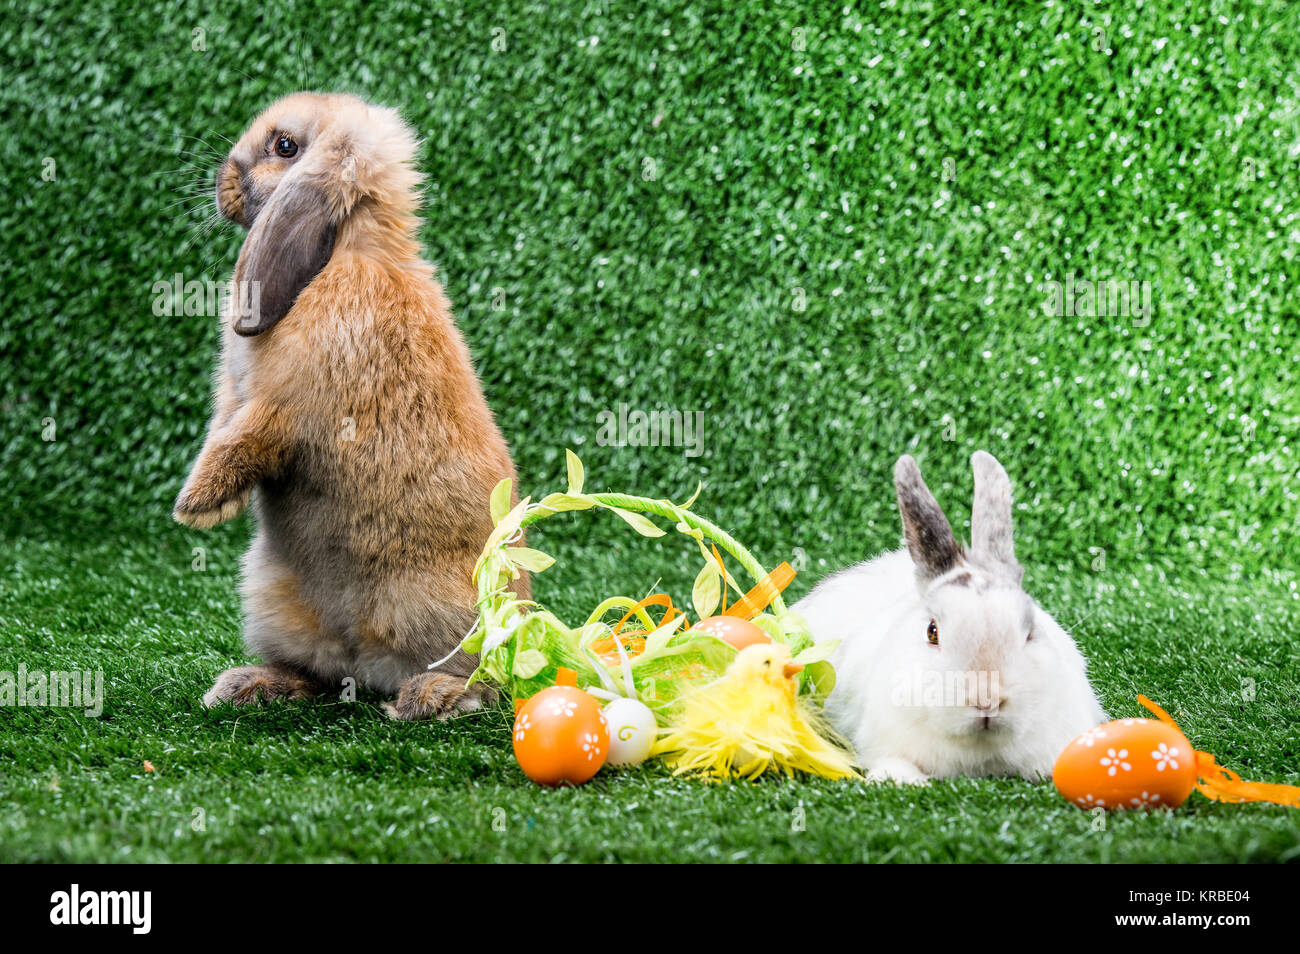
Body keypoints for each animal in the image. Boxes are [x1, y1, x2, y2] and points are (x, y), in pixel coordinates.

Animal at [173, 91, 527, 720]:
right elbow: (223, 432)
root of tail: (363, 661)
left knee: (484, 680)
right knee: (313, 674)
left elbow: (243, 442)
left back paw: (427, 698)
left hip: (445, 614)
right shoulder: (234, 398)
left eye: (284, 146)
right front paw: (206, 503)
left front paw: (194, 506)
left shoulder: (280, 409)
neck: (341, 255)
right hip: (270, 599)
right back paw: (249, 685)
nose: (221, 182)